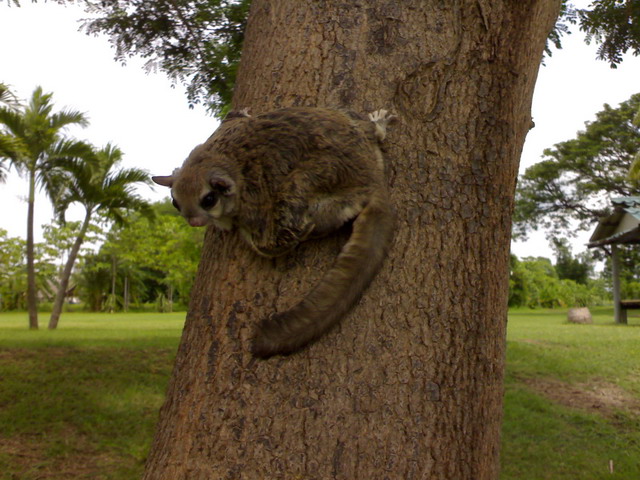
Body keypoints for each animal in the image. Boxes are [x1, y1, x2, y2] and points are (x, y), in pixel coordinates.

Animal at [154, 107, 396, 358]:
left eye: (208, 200)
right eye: (175, 202)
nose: (193, 222)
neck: (219, 158)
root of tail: (372, 179)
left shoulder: (252, 200)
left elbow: (266, 241)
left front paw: (229, 225)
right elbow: (234, 117)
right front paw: (243, 113)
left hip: (307, 184)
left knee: (294, 223)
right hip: (357, 134)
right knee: (370, 133)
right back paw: (378, 125)